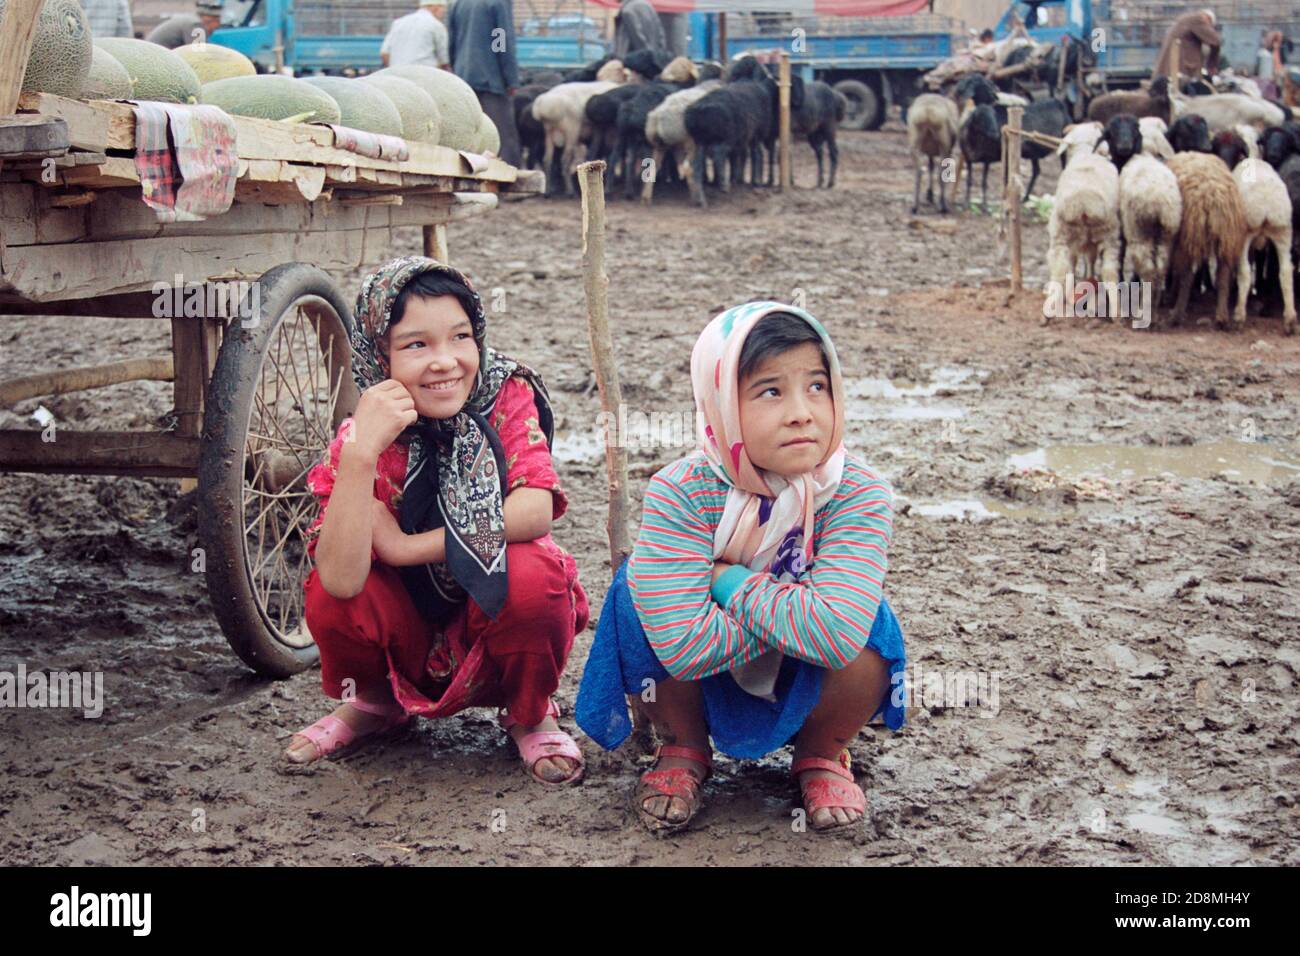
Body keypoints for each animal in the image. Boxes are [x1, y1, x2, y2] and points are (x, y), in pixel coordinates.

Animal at [1040, 147, 1123, 323]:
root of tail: (1085, 201)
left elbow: (1074, 262)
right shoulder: (1088, 241)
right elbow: (1090, 260)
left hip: (1062, 234)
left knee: (1060, 269)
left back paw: (1049, 310)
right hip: (1106, 235)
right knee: (1109, 271)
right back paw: (1116, 313)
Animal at [1170, 150, 1248, 329]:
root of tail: (1211, 195)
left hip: (1188, 235)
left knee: (1187, 275)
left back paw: (1176, 314)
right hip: (1227, 236)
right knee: (1223, 275)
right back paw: (1221, 317)